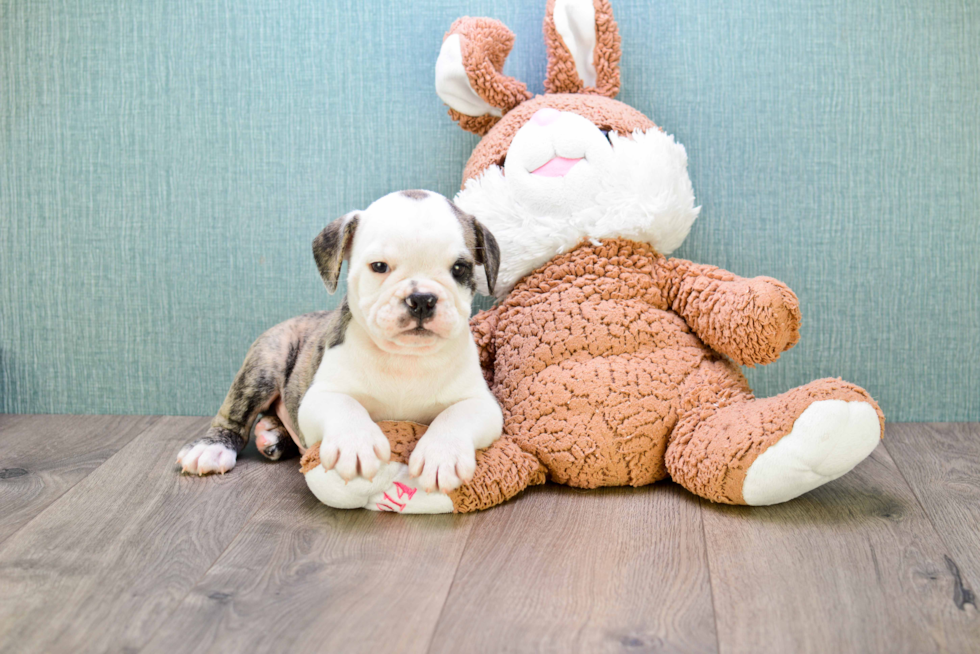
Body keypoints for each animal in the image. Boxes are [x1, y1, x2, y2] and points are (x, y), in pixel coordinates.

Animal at [173, 191, 506, 512]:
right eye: (379, 266)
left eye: (460, 268)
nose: (422, 298)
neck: (404, 357)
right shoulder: (320, 394)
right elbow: (344, 405)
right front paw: (355, 445)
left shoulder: (482, 404)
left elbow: (455, 415)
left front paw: (441, 455)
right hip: (266, 360)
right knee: (234, 415)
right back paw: (213, 447)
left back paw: (273, 433)